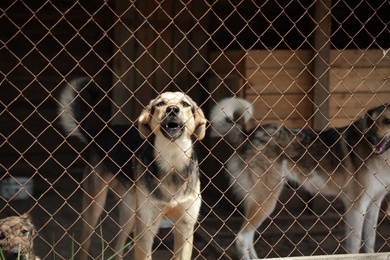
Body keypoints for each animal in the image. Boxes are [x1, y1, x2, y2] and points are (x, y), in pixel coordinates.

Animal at [58, 77, 207, 260]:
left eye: (185, 103)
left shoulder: (185, 227)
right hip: (95, 207)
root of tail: (101, 133)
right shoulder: (146, 228)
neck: (172, 161)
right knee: (84, 244)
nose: (172, 109)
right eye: (160, 104)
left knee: (117, 248)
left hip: (130, 212)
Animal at [210, 96, 390, 258]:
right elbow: (354, 247)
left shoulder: (374, 204)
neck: (382, 159)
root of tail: (250, 134)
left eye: (387, 121)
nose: (371, 139)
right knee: (242, 238)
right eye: (371, 122)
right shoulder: (356, 207)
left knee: (246, 239)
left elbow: (370, 243)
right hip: (265, 200)